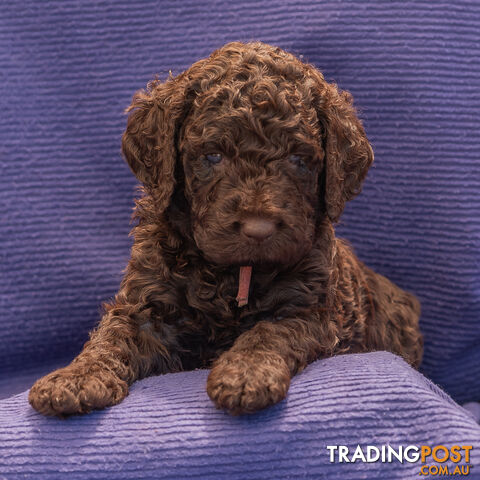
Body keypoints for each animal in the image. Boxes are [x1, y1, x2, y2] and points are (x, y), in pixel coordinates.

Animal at [28, 41, 422, 416]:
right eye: (213, 156)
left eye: (298, 159)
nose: (258, 229)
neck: (234, 274)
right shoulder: (147, 304)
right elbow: (113, 336)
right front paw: (76, 378)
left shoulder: (311, 309)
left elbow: (270, 330)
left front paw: (245, 374)